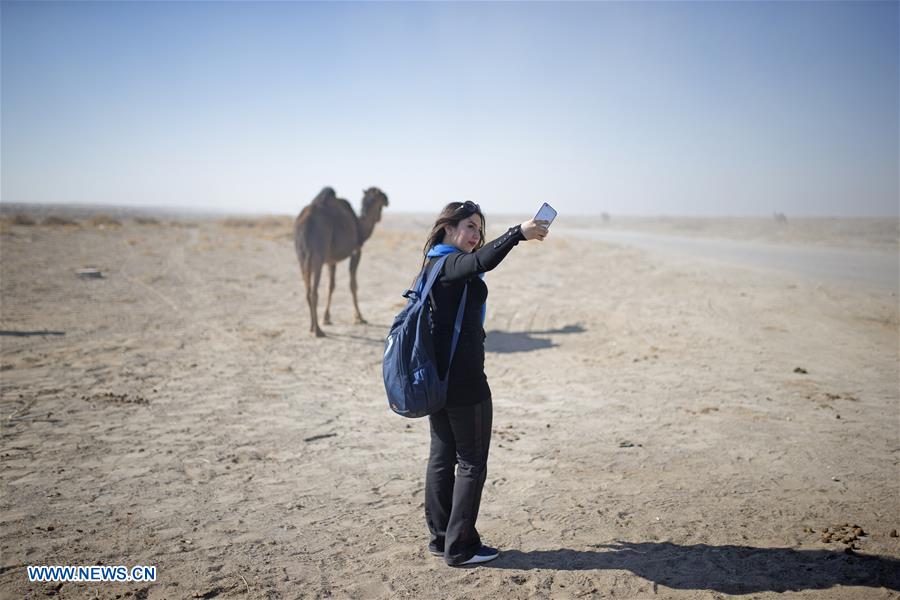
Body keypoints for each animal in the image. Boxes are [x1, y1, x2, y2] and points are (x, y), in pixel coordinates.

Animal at [290, 188, 384, 338]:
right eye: (381, 195)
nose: (388, 199)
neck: (360, 227)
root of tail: (304, 223)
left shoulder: (331, 261)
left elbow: (331, 286)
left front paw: (326, 318)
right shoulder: (356, 251)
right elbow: (353, 285)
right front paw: (359, 318)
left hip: (301, 257)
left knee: (307, 291)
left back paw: (311, 327)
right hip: (317, 255)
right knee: (314, 292)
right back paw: (318, 330)